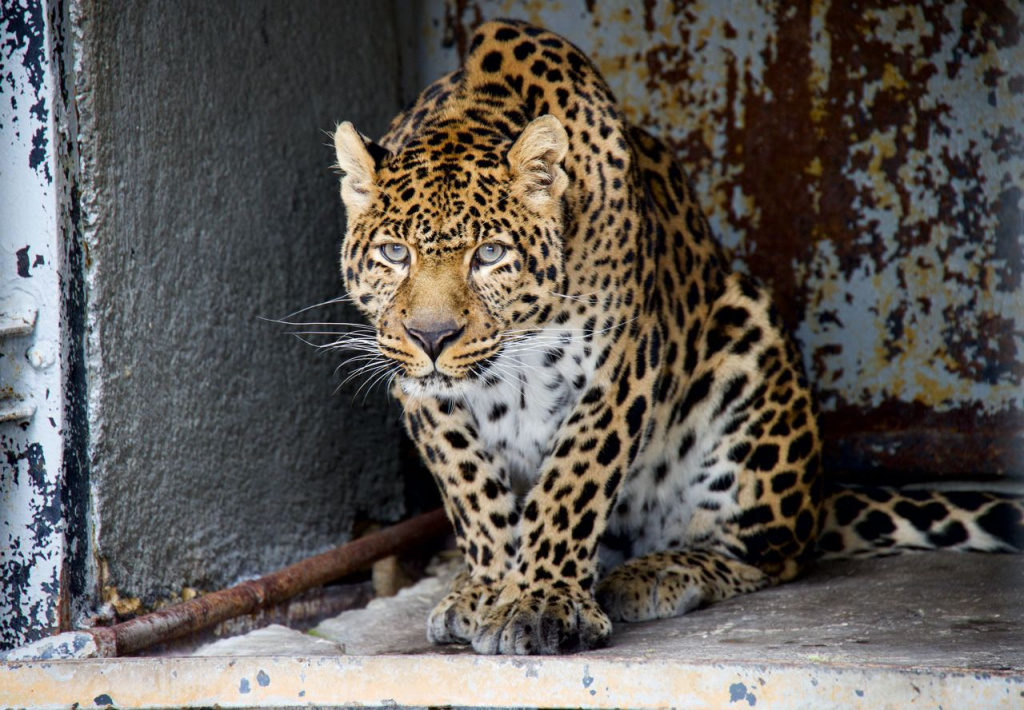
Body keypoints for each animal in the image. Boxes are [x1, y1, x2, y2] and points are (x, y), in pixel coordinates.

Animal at [329, 20, 1024, 651]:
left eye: (490, 254)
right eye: (394, 253)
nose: (432, 337)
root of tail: (818, 497)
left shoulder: (619, 364)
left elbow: (571, 482)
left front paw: (540, 601)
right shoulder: (420, 388)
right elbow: (469, 486)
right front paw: (488, 587)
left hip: (749, 348)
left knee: (769, 555)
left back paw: (655, 574)